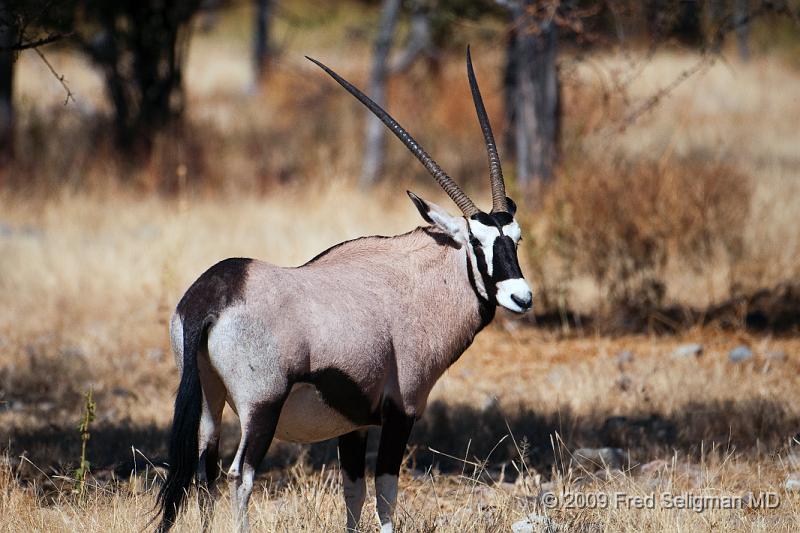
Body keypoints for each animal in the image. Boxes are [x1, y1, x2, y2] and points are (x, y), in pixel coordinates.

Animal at [155, 47, 532, 528]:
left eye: (515, 238)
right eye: (477, 243)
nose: (521, 297)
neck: (413, 283)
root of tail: (211, 296)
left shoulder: (353, 424)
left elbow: (352, 492)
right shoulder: (401, 411)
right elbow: (385, 492)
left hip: (209, 401)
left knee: (206, 470)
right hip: (261, 407)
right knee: (241, 474)